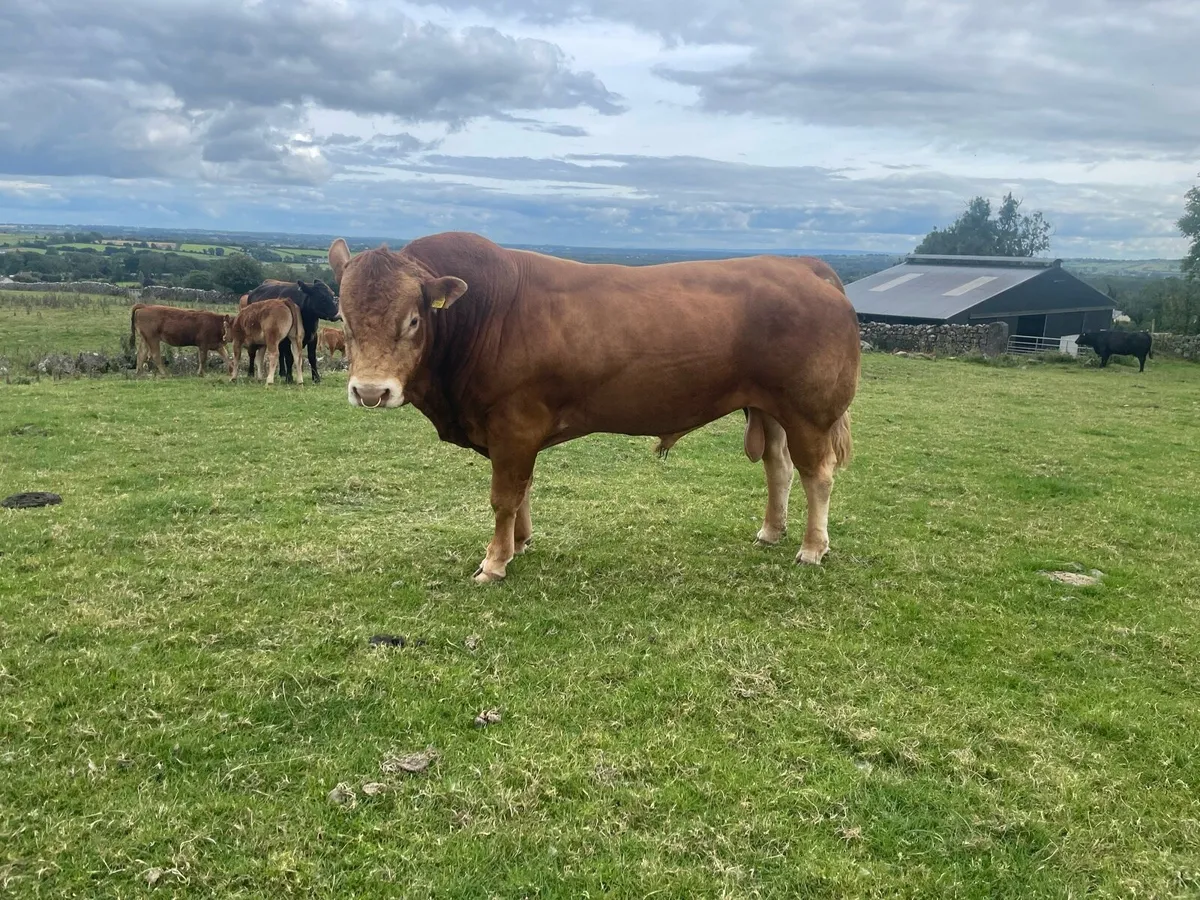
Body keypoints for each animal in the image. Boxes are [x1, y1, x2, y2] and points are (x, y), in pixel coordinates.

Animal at [328, 232, 860, 584]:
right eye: (343, 317)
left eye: (414, 320)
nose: (371, 391)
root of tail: (804, 265)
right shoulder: (514, 435)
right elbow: (522, 491)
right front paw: (520, 543)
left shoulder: (513, 424)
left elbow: (504, 496)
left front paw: (494, 561)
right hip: (768, 408)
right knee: (778, 466)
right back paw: (771, 531)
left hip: (809, 412)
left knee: (817, 474)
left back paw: (812, 548)